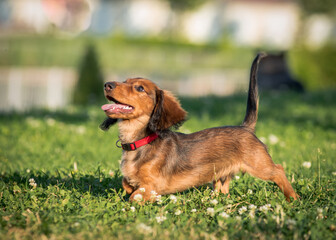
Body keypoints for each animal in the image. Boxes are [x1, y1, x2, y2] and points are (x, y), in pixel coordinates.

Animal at [100, 54, 300, 202]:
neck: (140, 141)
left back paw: (293, 198)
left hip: (260, 165)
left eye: (140, 88)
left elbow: (135, 195)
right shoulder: (131, 180)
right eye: (124, 80)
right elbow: (126, 185)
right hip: (221, 175)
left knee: (279, 170)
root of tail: (246, 128)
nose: (107, 84)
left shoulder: (152, 185)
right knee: (222, 189)